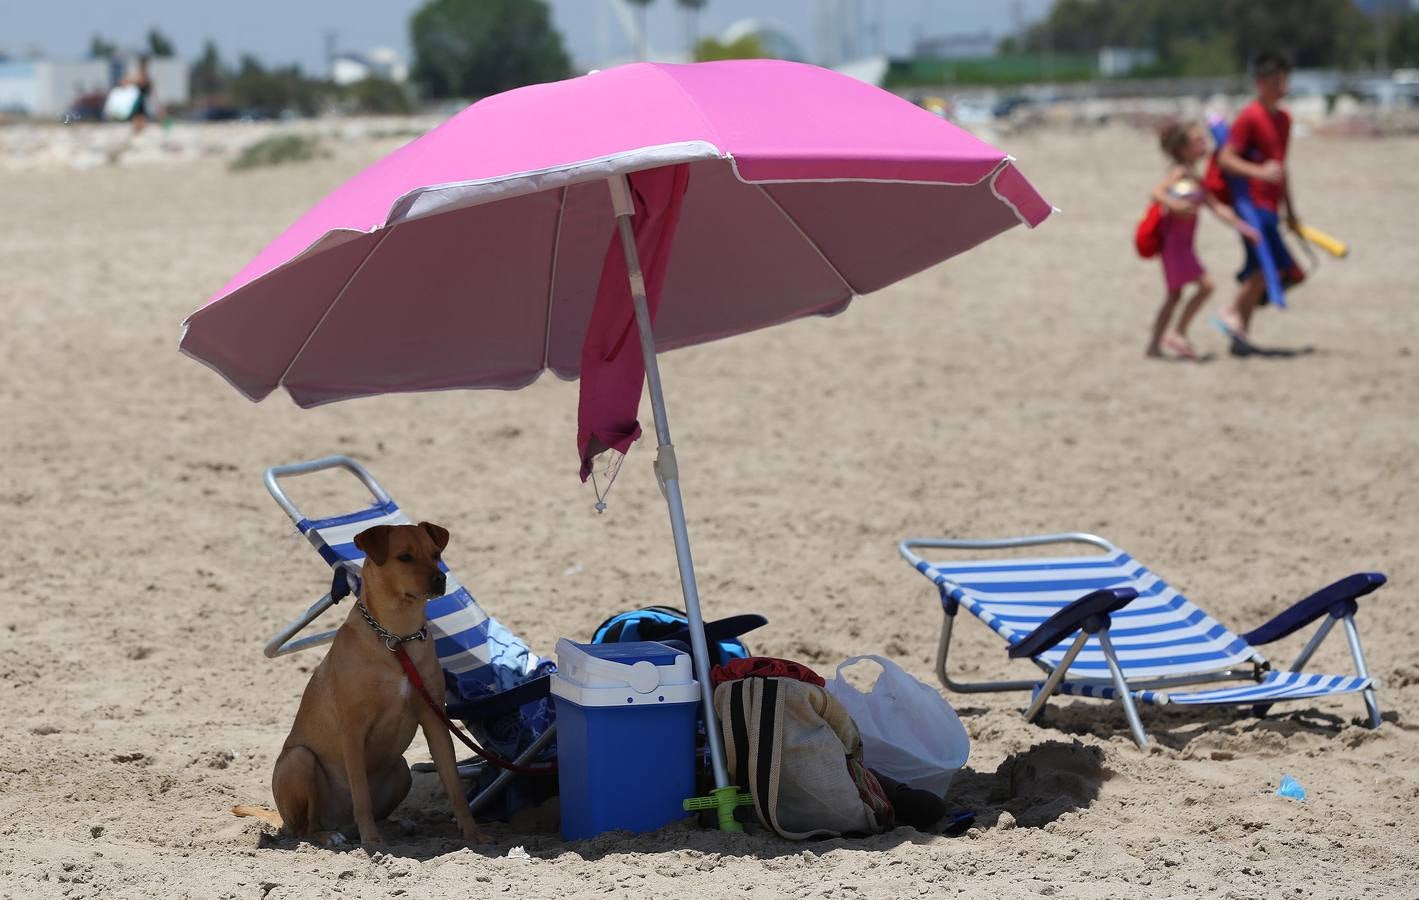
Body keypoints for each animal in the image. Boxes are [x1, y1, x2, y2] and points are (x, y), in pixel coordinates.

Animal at [235, 519, 490, 840]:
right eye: (404, 557)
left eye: (435, 554)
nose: (440, 578)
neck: (397, 638)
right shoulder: (353, 729)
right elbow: (361, 795)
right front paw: (373, 843)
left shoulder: (435, 722)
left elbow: (455, 786)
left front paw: (473, 835)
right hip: (300, 761)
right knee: (306, 827)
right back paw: (329, 835)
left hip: (401, 769)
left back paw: (393, 825)